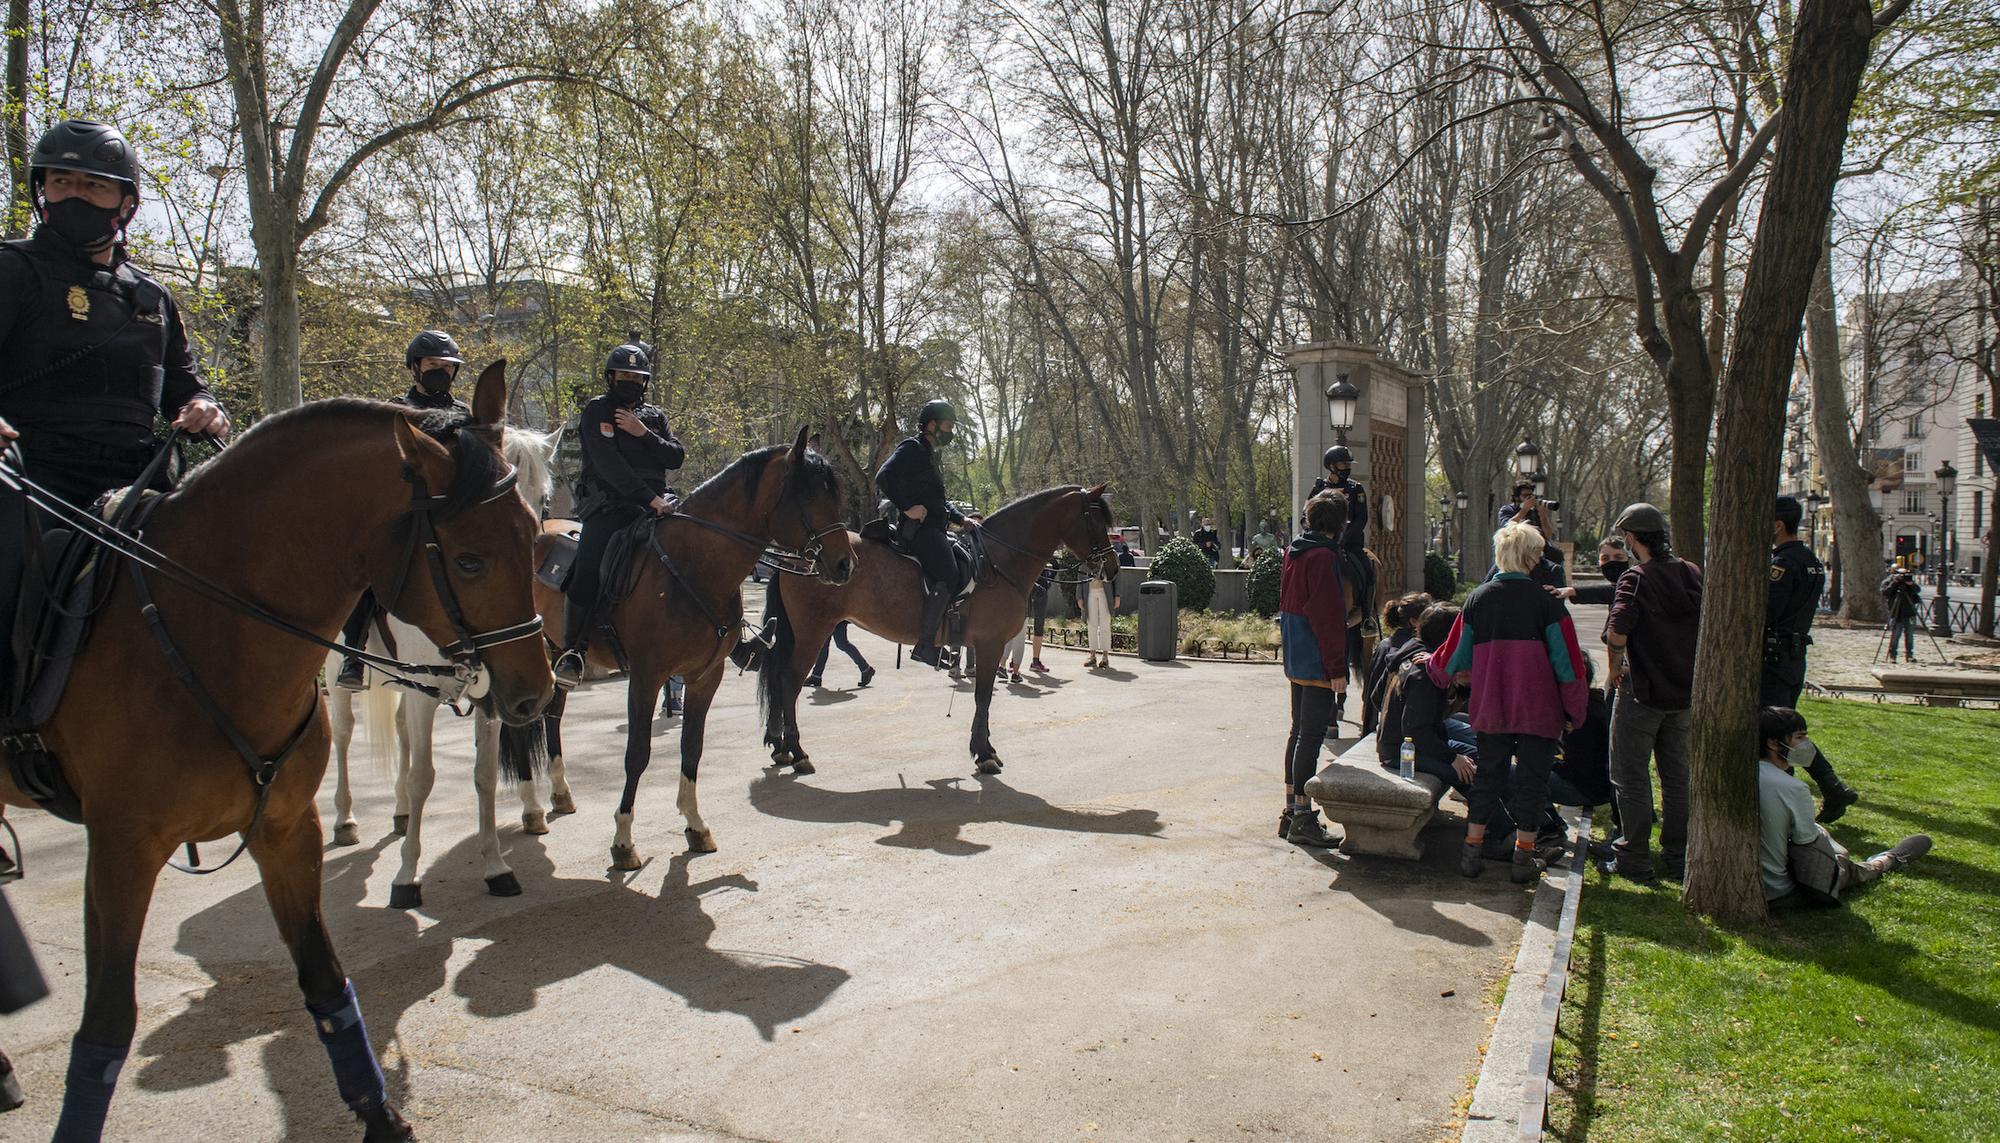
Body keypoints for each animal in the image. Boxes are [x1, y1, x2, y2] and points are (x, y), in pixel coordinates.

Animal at [324, 423, 568, 907]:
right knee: (342, 734)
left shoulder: (491, 700)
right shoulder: (428, 697)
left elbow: (485, 775)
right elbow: (424, 777)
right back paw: (345, 820)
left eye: (542, 500)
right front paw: (406, 877)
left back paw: (400, 812)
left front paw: (495, 866)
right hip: (335, 673)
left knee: (399, 730)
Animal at [532, 423, 852, 871]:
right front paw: (624, 838)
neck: (693, 567)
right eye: (809, 495)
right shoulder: (646, 678)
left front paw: (695, 824)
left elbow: (692, 747)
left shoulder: (704, 677)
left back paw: (560, 793)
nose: (845, 564)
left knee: (552, 715)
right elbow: (638, 752)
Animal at [756, 481, 1120, 775]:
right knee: (789, 681)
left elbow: (984, 696)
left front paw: (985, 748)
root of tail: (801, 553)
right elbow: (983, 696)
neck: (997, 561)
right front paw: (984, 753)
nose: (1114, 567)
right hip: (812, 631)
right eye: (1096, 521)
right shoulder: (989, 644)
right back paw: (797, 751)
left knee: (779, 679)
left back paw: (780, 746)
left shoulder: (984, 645)